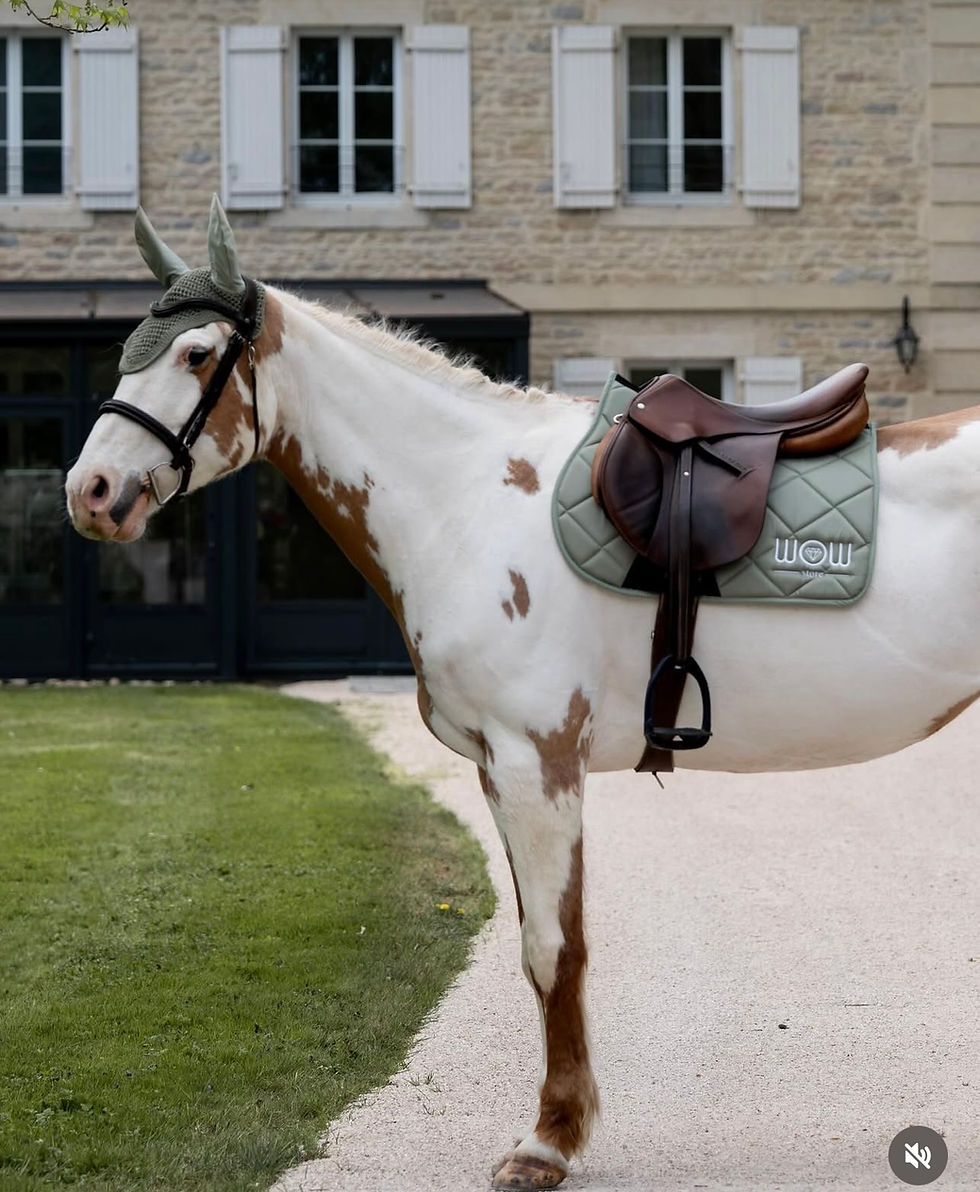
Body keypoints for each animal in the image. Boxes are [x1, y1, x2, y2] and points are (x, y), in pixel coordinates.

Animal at [65, 197, 980, 1191]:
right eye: (127, 349)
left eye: (196, 353)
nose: (91, 492)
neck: (468, 498)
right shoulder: (498, 771)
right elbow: (540, 948)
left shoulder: (536, 764)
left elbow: (556, 951)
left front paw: (549, 1140)